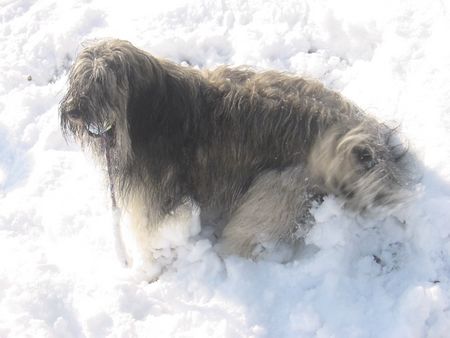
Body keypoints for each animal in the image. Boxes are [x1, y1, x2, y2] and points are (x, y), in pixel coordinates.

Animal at [61, 39, 414, 262]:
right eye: (79, 80)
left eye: (102, 83)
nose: (73, 111)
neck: (152, 111)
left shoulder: (153, 194)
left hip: (275, 191)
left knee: (249, 232)